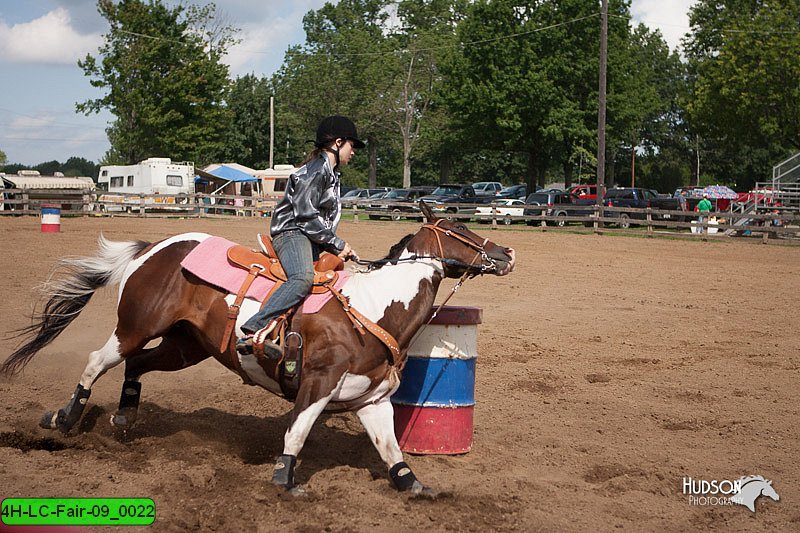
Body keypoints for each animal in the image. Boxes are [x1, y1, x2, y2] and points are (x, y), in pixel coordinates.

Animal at [3, 204, 516, 494]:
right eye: (458, 225)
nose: (508, 253)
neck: (372, 308)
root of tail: (154, 247)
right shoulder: (317, 384)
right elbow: (297, 433)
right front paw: (284, 482)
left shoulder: (371, 399)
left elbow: (391, 451)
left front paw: (418, 487)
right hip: (134, 326)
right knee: (99, 361)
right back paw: (64, 418)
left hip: (186, 346)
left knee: (139, 365)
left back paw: (125, 417)